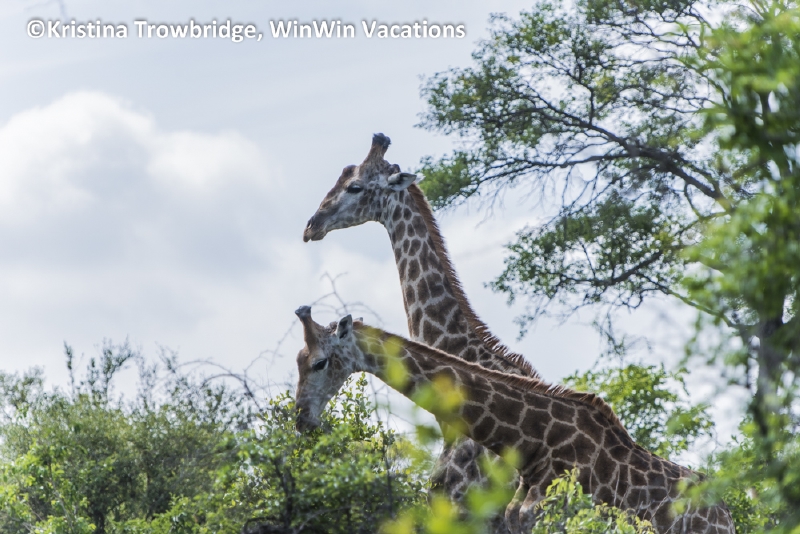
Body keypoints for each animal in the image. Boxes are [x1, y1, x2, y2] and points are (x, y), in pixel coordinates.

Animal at [293, 306, 736, 534]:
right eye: (299, 359)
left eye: (319, 362)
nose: (302, 419)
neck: (534, 443)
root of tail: (725, 513)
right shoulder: (514, 521)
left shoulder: (554, 521)